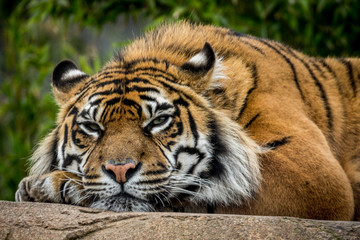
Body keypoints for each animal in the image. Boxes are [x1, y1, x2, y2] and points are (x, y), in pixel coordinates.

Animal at [14, 21, 360, 220]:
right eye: (93, 128)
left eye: (157, 121)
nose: (120, 170)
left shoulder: (316, 174)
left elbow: (204, 183)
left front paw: (50, 184)